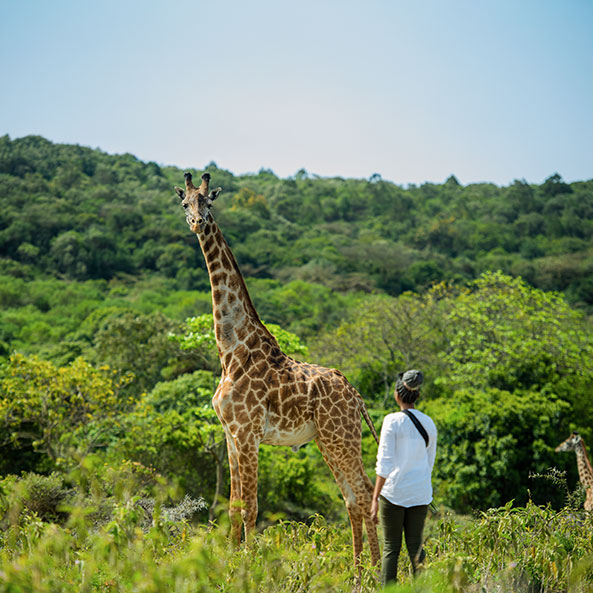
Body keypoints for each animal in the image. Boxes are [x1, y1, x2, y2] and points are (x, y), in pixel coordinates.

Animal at [175, 171, 380, 564]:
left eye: (209, 201)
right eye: (185, 202)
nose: (198, 222)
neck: (231, 350)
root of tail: (358, 397)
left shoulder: (248, 432)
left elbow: (251, 506)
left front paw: (248, 565)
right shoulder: (230, 434)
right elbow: (233, 506)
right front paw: (228, 561)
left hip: (341, 436)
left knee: (363, 494)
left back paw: (377, 570)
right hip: (327, 440)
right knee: (352, 497)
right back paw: (358, 569)